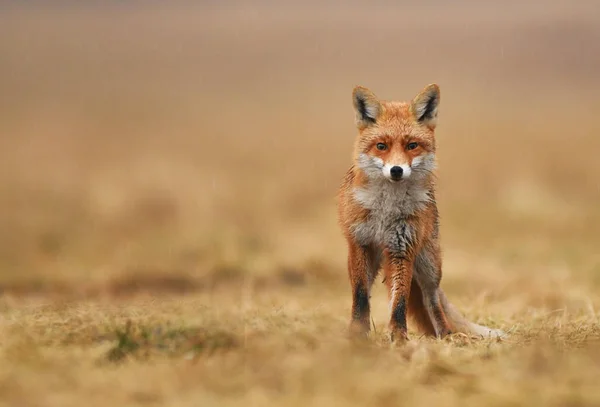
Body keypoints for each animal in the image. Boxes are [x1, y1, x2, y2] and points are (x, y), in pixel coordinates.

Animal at [338, 83, 502, 344]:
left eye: (412, 145)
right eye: (381, 146)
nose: (396, 170)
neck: (386, 209)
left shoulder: (402, 248)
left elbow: (400, 302)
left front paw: (399, 337)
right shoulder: (359, 244)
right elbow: (361, 297)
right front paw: (357, 334)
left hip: (429, 266)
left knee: (432, 299)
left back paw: (446, 335)